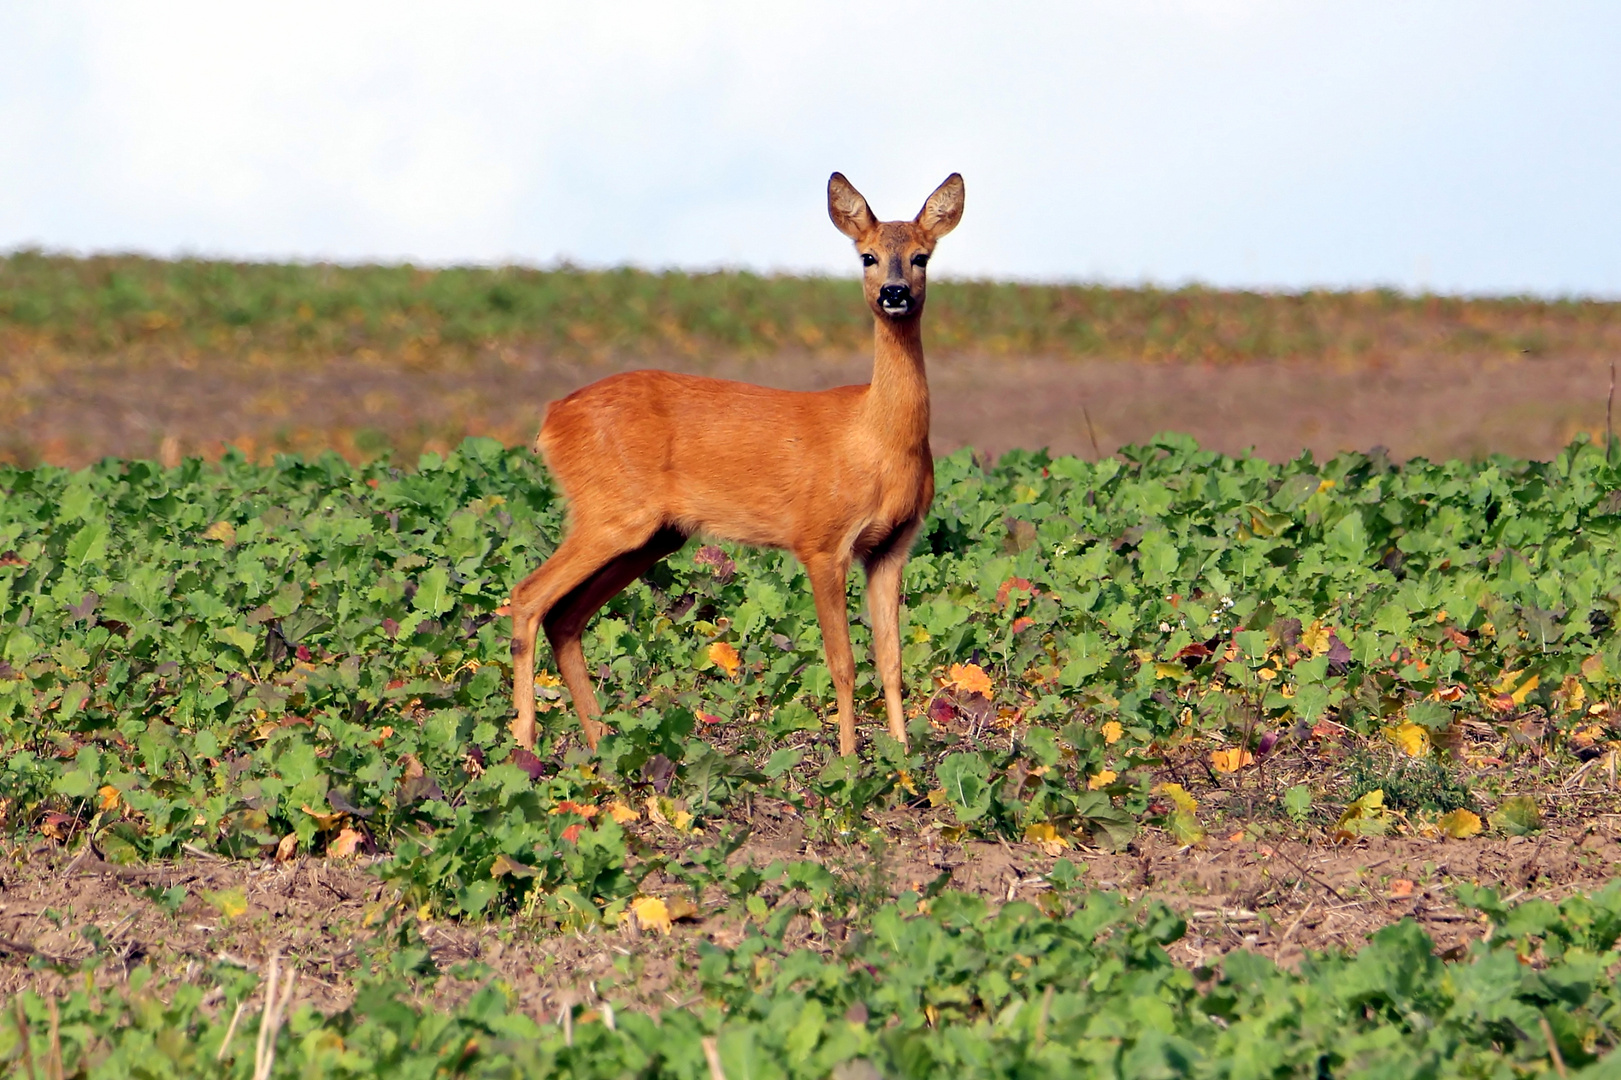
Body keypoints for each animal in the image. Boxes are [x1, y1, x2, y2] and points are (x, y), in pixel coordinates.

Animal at [508, 172, 959, 752]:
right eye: (868, 256)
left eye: (922, 257)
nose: (895, 293)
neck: (878, 440)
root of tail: (551, 420)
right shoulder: (820, 540)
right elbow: (842, 663)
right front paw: (849, 758)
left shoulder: (892, 546)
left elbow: (892, 661)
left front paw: (901, 754)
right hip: (610, 513)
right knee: (526, 596)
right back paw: (525, 742)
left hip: (654, 535)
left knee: (564, 617)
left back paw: (602, 744)